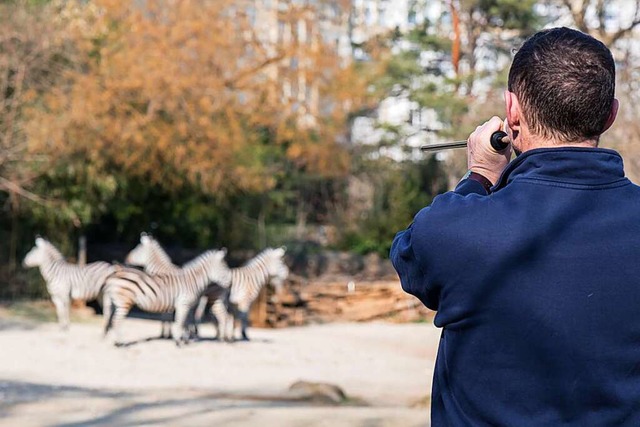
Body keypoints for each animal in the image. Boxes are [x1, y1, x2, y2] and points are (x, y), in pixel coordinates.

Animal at [104, 249, 234, 346]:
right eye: (224, 267)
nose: (230, 283)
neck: (192, 281)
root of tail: (116, 273)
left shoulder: (186, 305)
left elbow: (183, 322)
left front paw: (183, 340)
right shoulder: (182, 304)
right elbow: (180, 322)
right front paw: (178, 341)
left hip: (117, 302)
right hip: (124, 302)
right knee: (116, 320)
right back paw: (119, 343)